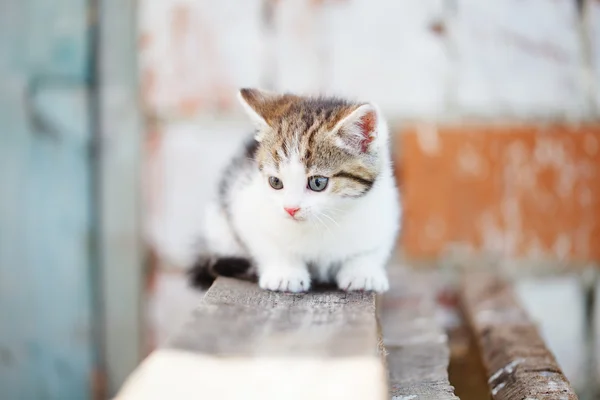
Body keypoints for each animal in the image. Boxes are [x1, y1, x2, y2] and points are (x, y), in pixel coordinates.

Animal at [188, 88, 400, 294]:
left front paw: (363, 273)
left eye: (318, 183)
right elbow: (268, 243)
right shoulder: (244, 201)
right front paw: (285, 273)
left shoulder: (385, 209)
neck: (321, 223)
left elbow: (372, 249)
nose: (290, 209)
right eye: (275, 182)